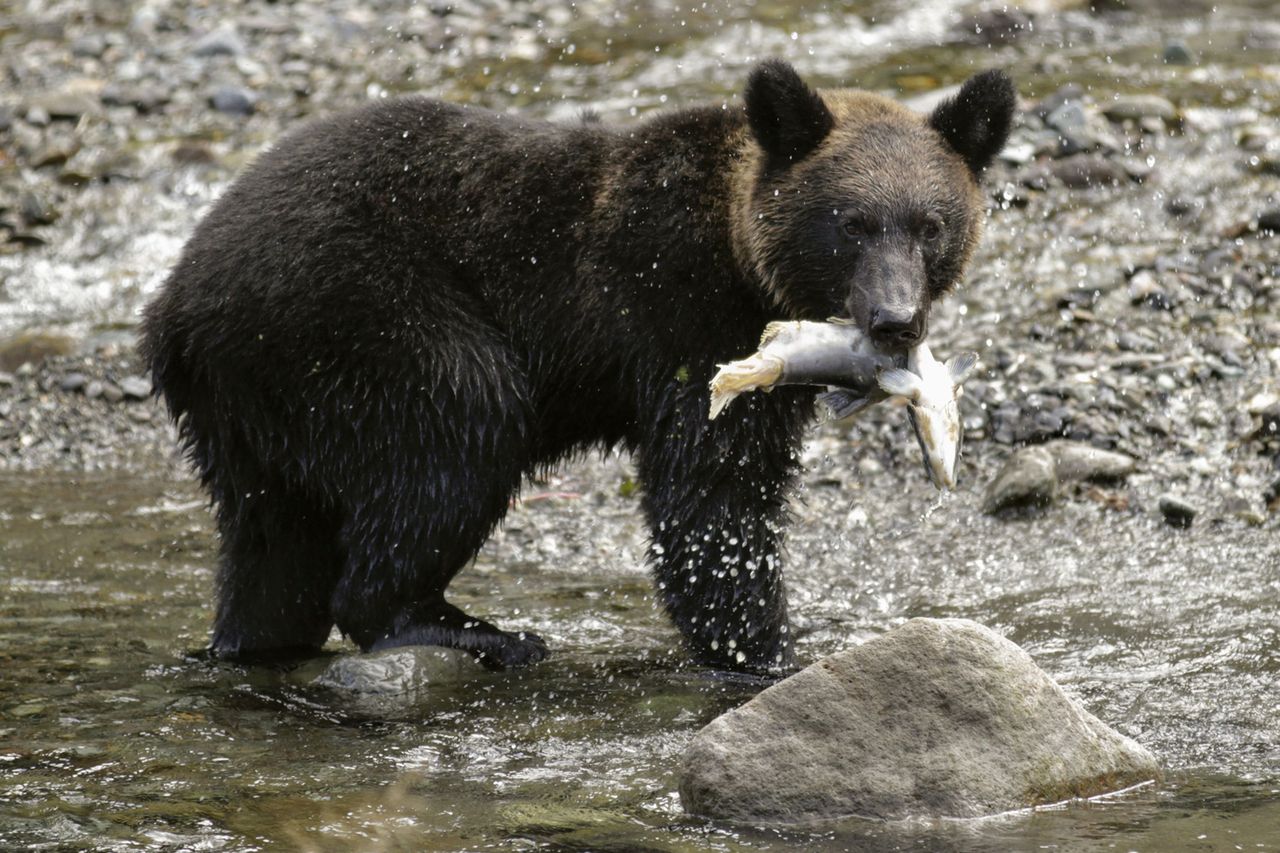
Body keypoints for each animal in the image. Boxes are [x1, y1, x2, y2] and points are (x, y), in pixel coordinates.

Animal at [140, 60, 1015, 673]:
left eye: (930, 225)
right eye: (851, 223)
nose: (895, 318)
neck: (741, 260)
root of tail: (174, 304)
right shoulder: (679, 316)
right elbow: (713, 493)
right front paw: (761, 647)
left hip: (252, 408)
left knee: (272, 545)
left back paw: (255, 642)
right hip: (358, 311)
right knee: (459, 425)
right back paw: (472, 629)